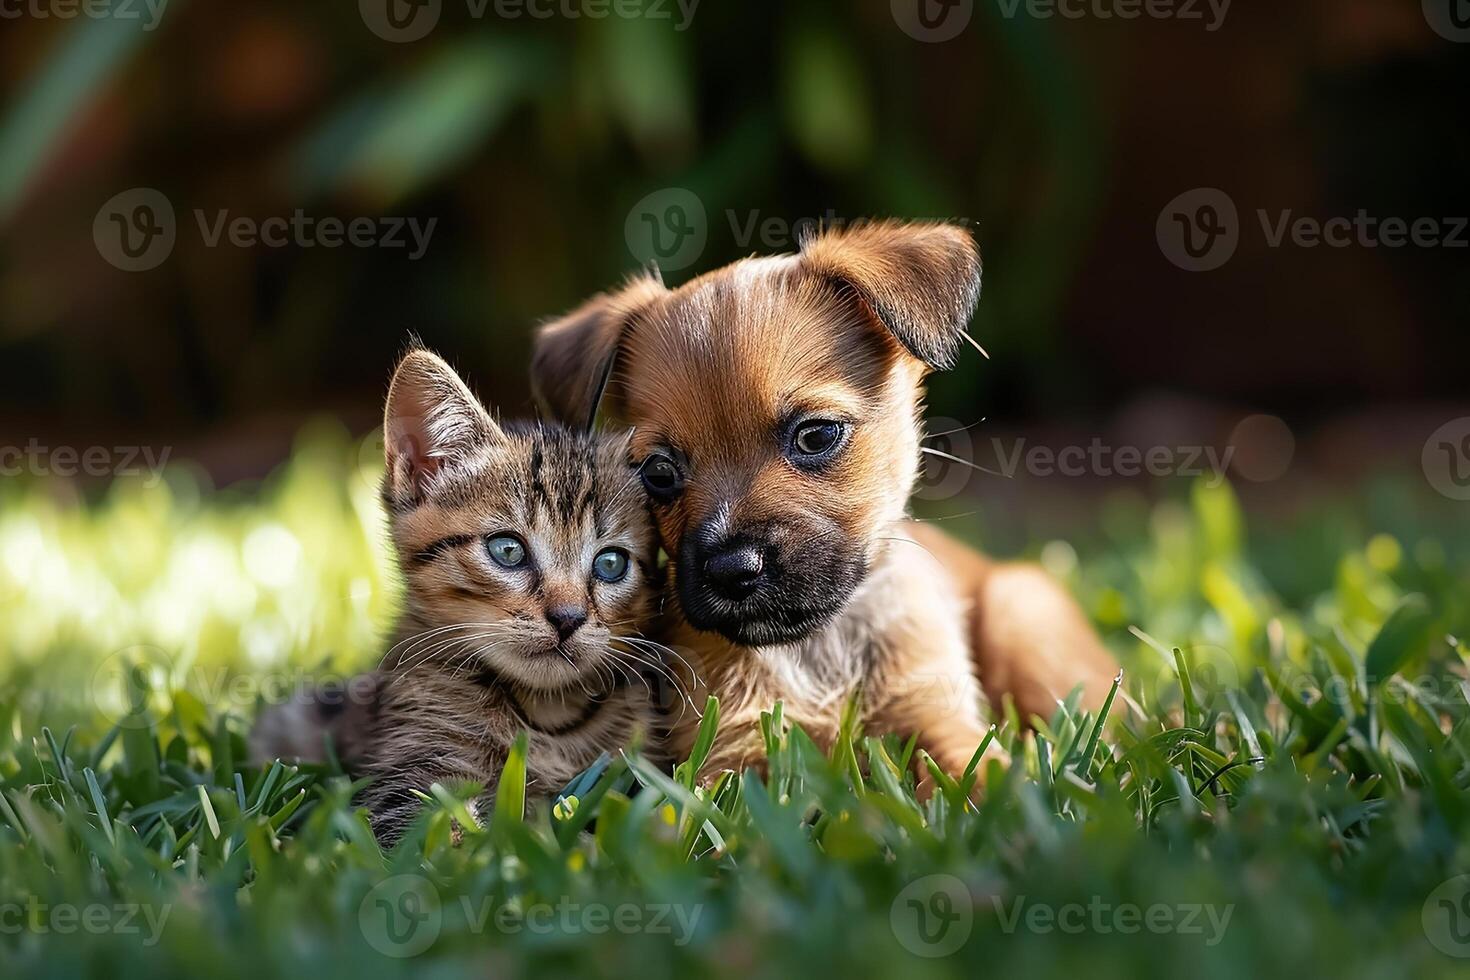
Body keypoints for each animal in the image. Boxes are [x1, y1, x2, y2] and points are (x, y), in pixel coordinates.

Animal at [251, 351, 667, 846]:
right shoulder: (414, 770)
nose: (568, 618)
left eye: (611, 563)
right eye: (507, 550)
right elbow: (438, 836)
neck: (545, 713)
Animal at [529, 221, 1111, 781]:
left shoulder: (935, 716)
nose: (732, 569)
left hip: (1022, 615)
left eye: (816, 435)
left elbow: (980, 777)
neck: (817, 648)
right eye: (658, 473)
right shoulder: (729, 757)